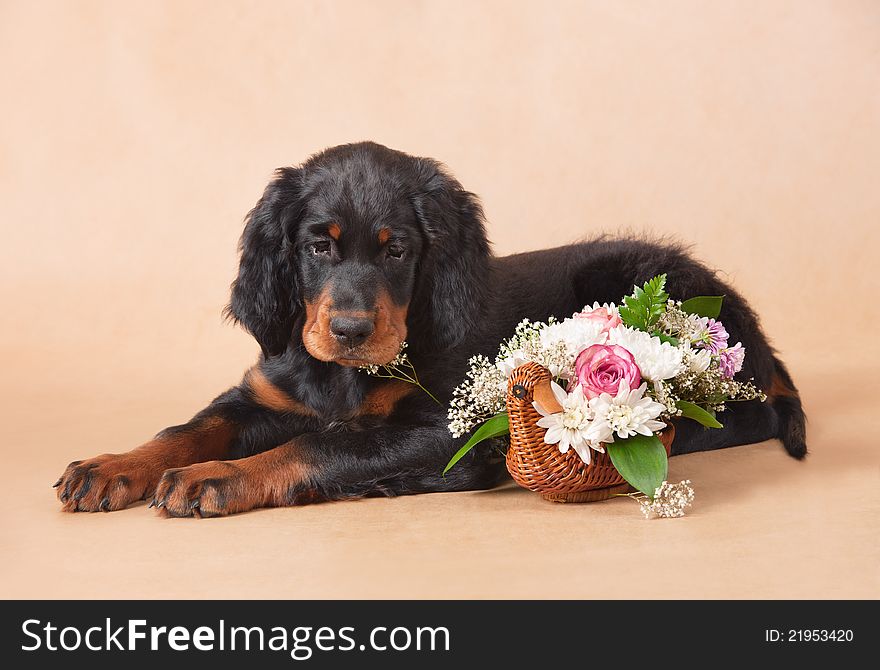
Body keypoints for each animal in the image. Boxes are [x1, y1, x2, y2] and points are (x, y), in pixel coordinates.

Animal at [53, 143, 804, 520]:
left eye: (397, 251)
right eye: (316, 246)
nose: (350, 329)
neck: (342, 376)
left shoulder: (444, 423)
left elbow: (325, 444)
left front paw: (217, 476)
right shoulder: (265, 395)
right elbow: (189, 427)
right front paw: (112, 465)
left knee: (724, 419)